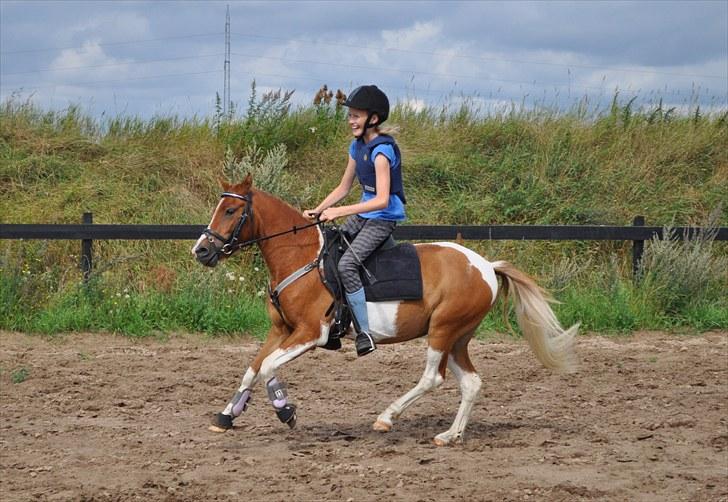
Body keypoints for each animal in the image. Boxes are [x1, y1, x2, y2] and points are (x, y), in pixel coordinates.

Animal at [193, 175, 580, 446]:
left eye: (230, 211)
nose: (201, 251)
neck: (301, 257)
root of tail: (485, 265)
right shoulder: (281, 331)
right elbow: (253, 369)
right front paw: (226, 416)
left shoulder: (310, 334)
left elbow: (268, 368)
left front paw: (285, 409)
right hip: (458, 337)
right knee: (471, 382)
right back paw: (449, 436)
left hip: (443, 330)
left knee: (432, 378)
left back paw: (387, 417)